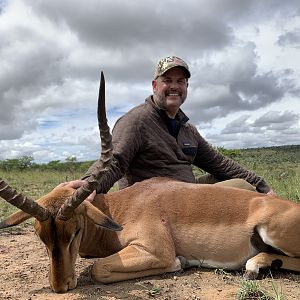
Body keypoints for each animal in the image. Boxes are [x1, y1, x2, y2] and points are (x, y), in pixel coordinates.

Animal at [0, 72, 300, 292]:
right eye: (40, 235)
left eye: (75, 230)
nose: (60, 286)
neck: (119, 207)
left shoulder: (156, 250)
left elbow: (98, 268)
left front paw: (179, 264)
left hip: (272, 233)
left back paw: (255, 266)